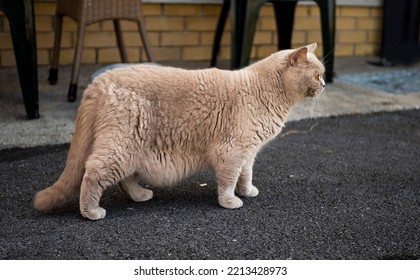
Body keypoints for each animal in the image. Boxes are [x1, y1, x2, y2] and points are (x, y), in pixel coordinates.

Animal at [34, 42, 326, 220]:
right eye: (316, 75)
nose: (324, 84)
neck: (266, 92)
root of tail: (99, 81)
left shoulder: (248, 153)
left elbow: (245, 175)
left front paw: (246, 191)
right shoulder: (231, 152)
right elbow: (228, 181)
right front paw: (230, 201)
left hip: (132, 150)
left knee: (123, 179)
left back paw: (140, 195)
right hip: (123, 147)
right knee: (93, 172)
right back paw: (91, 212)